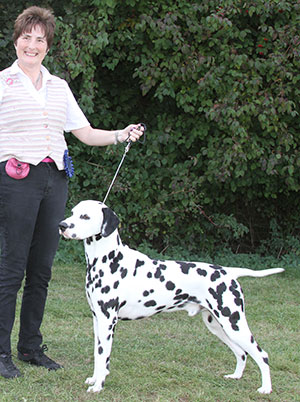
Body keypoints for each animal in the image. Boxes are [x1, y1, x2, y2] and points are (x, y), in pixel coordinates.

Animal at [58, 199, 284, 394]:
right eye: (72, 212)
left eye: (85, 216)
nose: (62, 225)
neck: (109, 259)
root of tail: (228, 272)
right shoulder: (97, 320)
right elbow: (98, 356)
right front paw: (94, 380)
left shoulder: (108, 322)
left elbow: (103, 356)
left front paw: (99, 386)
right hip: (218, 326)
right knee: (242, 352)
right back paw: (236, 376)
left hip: (234, 324)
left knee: (261, 354)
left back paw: (266, 388)